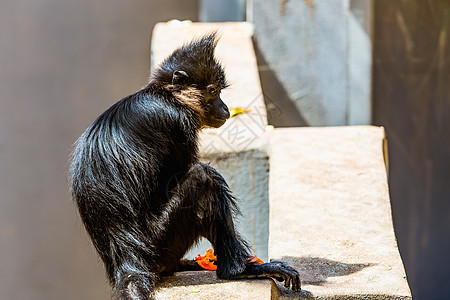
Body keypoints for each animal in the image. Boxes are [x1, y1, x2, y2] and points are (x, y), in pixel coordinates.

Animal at [69, 32, 298, 298]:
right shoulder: (177, 121)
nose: (225, 108)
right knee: (204, 177)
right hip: (160, 244)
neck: (166, 95)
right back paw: (237, 271)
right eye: (213, 91)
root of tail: (127, 262)